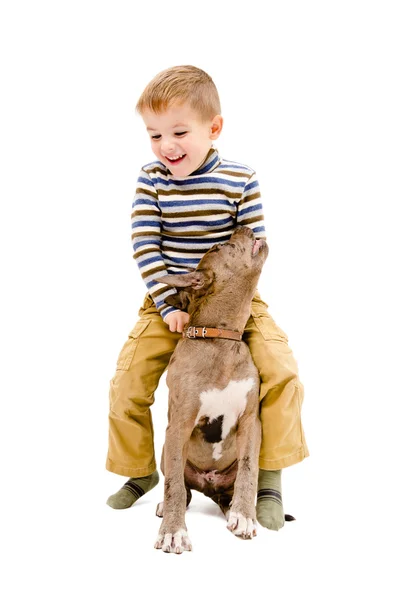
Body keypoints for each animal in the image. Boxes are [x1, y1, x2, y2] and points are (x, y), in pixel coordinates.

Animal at [153, 227, 268, 556]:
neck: (221, 340)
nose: (244, 228)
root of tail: (209, 485)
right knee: (183, 487)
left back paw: (232, 509)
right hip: (166, 450)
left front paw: (244, 516)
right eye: (218, 247)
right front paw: (173, 532)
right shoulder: (178, 424)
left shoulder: (251, 422)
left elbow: (249, 471)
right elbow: (174, 485)